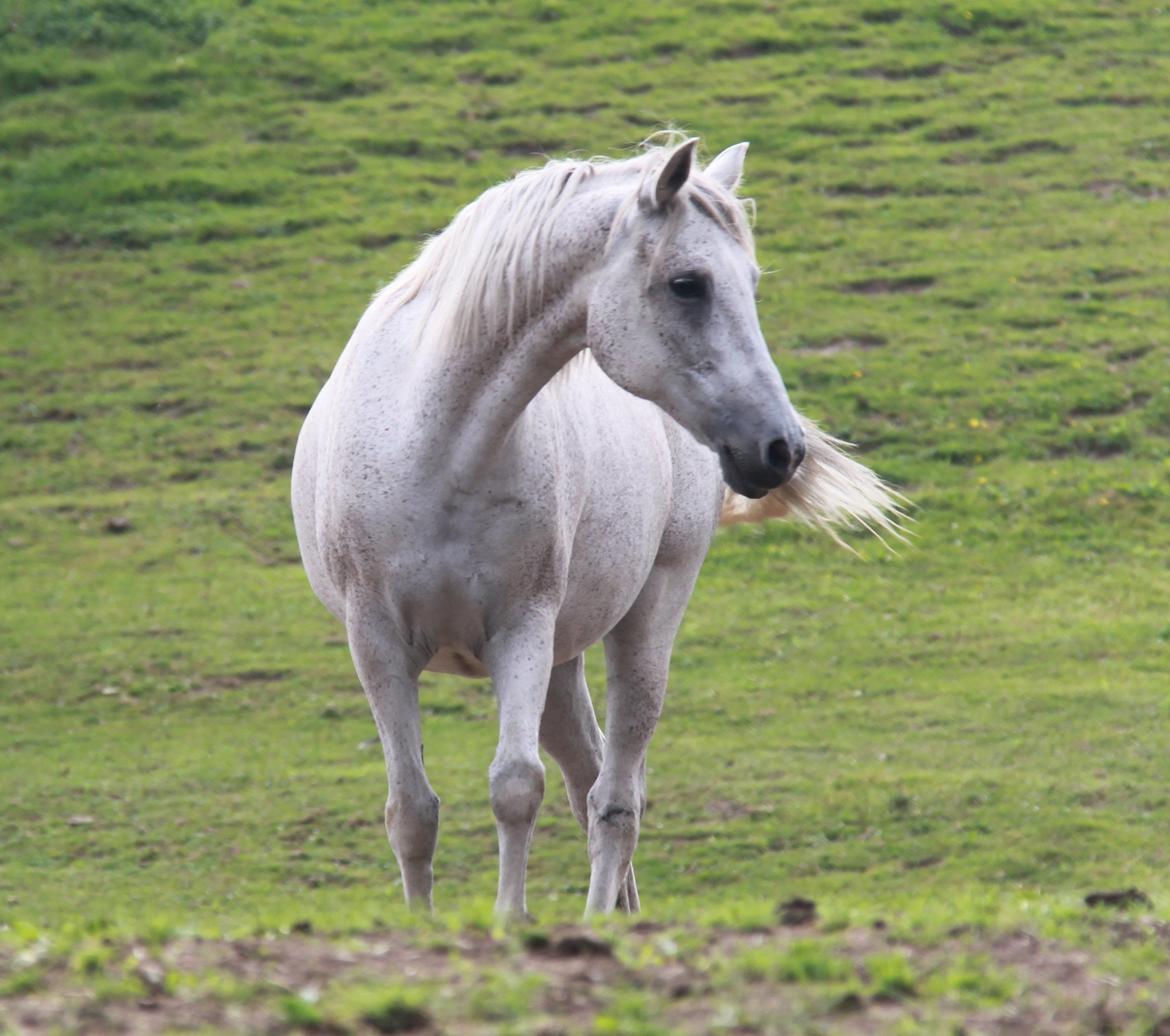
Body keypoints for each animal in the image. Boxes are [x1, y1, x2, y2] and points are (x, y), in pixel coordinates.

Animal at [290, 135, 893, 913]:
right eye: (688, 284)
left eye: (751, 281)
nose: (780, 448)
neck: (434, 445)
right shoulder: (377, 643)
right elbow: (413, 811)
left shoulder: (521, 628)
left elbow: (516, 787)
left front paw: (510, 921)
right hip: (559, 663)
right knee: (588, 777)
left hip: (640, 625)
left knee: (615, 795)